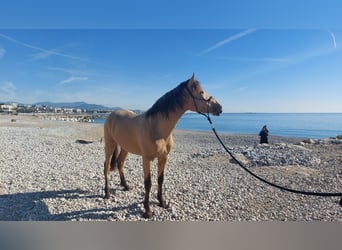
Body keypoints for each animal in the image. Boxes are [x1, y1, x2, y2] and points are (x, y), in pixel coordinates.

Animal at [103, 73, 223, 218]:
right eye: (201, 92)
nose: (220, 108)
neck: (156, 128)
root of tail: (111, 114)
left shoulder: (164, 157)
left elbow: (160, 179)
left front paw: (162, 203)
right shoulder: (146, 159)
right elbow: (148, 183)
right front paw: (148, 210)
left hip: (125, 148)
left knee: (120, 163)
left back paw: (125, 186)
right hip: (109, 145)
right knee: (106, 167)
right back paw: (107, 193)